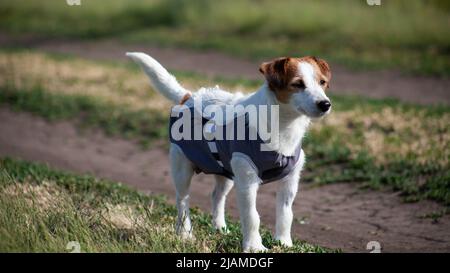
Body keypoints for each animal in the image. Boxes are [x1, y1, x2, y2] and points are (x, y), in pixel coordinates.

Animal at [126, 51, 330, 251]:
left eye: (322, 82)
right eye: (298, 84)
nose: (325, 104)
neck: (283, 125)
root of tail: (189, 97)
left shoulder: (290, 182)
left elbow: (286, 214)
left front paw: (283, 242)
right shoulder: (247, 181)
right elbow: (252, 216)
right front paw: (255, 247)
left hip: (225, 173)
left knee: (216, 196)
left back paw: (219, 227)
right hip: (182, 168)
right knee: (182, 200)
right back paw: (184, 233)